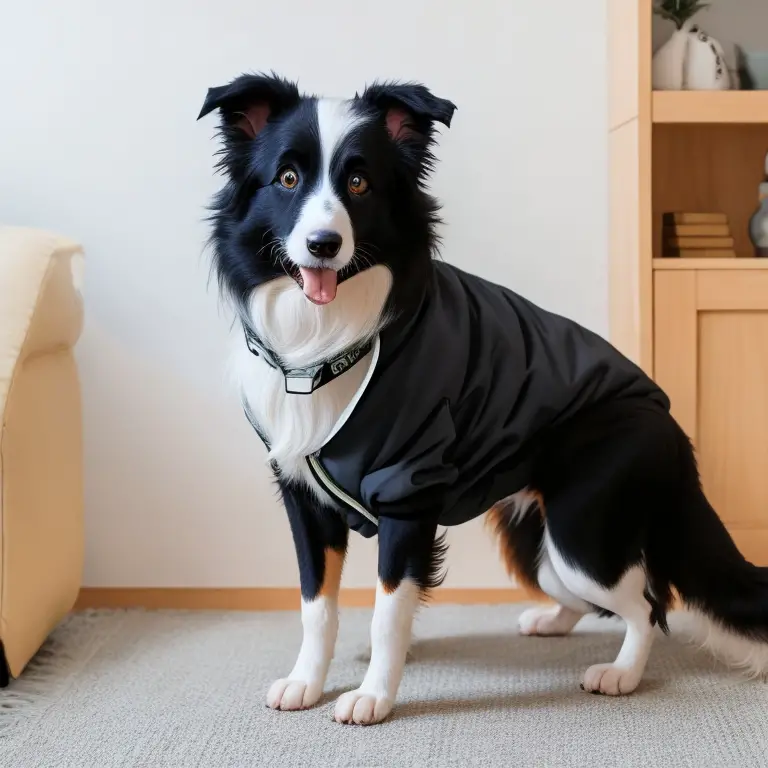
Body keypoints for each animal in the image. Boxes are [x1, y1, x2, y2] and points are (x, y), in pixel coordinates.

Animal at [198, 73, 768, 728]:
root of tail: (668, 422)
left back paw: (622, 673)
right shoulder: (303, 496)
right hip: (537, 538)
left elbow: (389, 612)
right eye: (288, 178)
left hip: (582, 534)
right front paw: (305, 682)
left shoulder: (408, 494)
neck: (330, 342)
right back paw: (553, 622)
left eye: (359, 183)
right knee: (589, 597)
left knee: (648, 601)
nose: (322, 244)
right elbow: (316, 604)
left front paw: (373, 696)